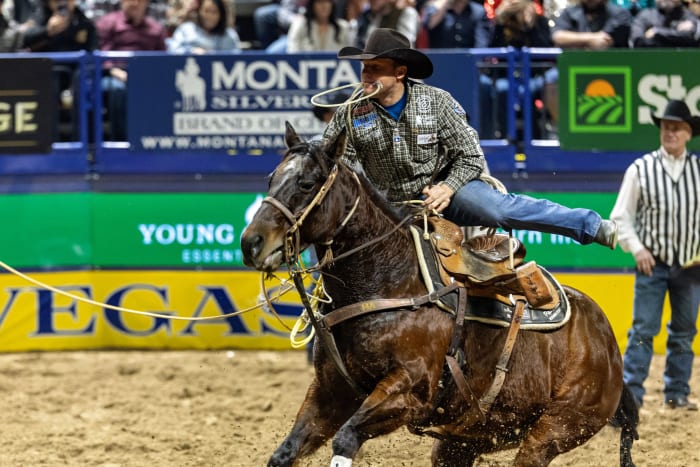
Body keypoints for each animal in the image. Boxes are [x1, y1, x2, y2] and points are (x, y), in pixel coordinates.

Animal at [242, 123, 640, 467]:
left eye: (307, 183)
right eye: (271, 179)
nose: (251, 243)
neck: (389, 281)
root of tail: (608, 346)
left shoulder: (409, 391)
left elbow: (346, 438)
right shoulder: (331, 392)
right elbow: (286, 451)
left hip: (556, 428)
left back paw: (604, 228)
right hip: (467, 439)